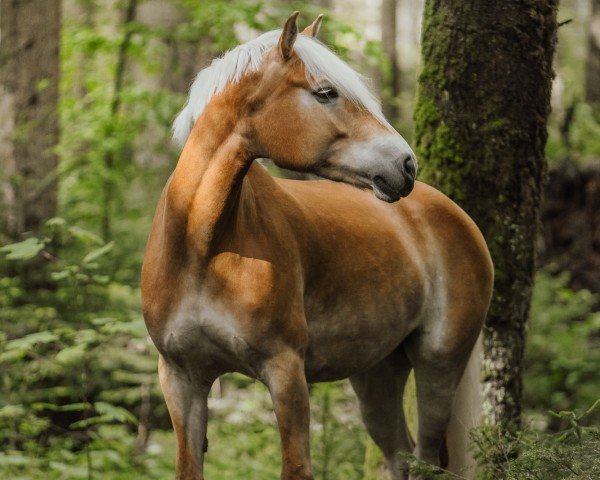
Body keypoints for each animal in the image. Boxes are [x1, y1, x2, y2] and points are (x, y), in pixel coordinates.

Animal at [141, 12, 492, 480]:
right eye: (325, 92)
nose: (405, 165)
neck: (204, 248)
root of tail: (458, 216)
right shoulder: (182, 379)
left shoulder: (286, 372)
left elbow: (296, 467)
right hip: (377, 375)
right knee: (399, 453)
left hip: (440, 365)